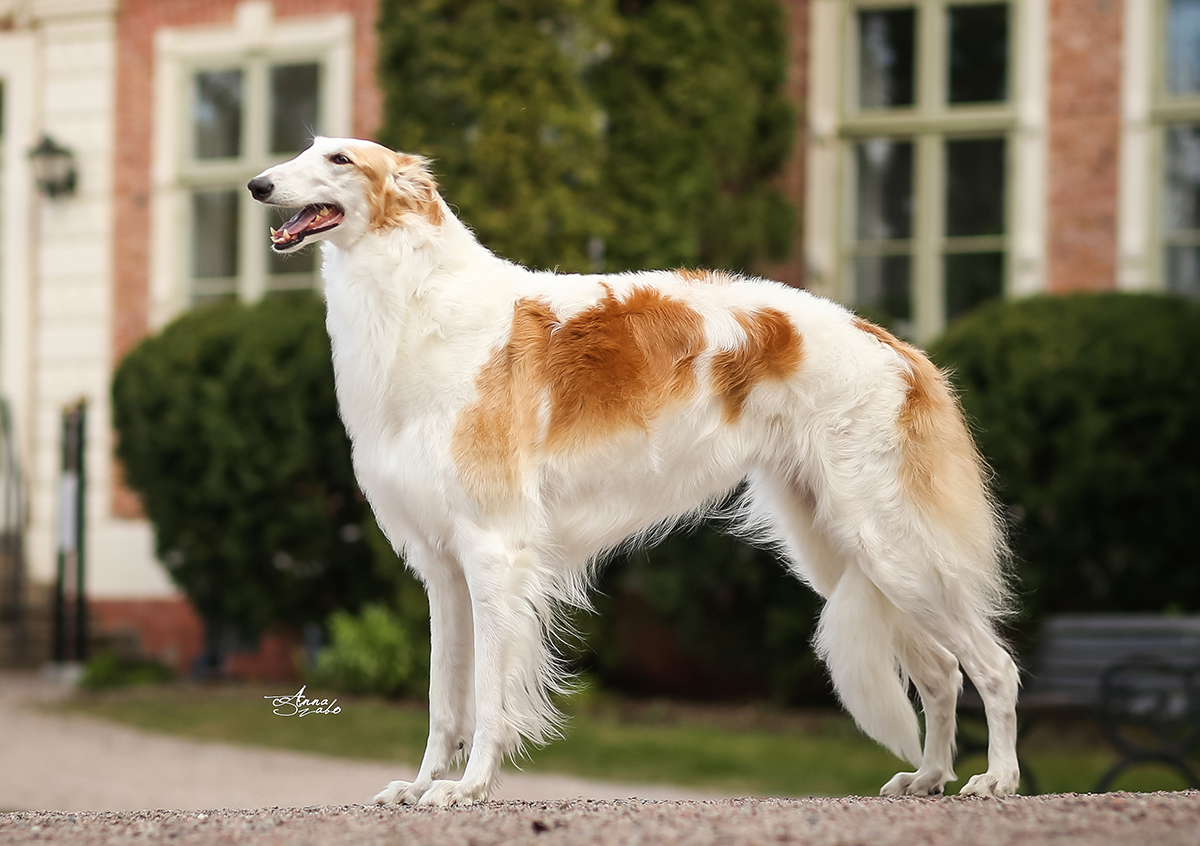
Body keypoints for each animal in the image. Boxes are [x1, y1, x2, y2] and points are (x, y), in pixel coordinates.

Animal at [248, 136, 1017, 806]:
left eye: (339, 158)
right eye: (303, 149)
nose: (256, 184)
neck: (418, 304)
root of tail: (895, 346)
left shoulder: (495, 552)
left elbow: (489, 699)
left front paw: (467, 790)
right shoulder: (443, 567)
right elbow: (444, 701)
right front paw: (421, 784)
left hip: (885, 542)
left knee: (993, 667)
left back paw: (998, 779)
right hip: (838, 546)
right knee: (942, 673)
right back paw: (928, 777)